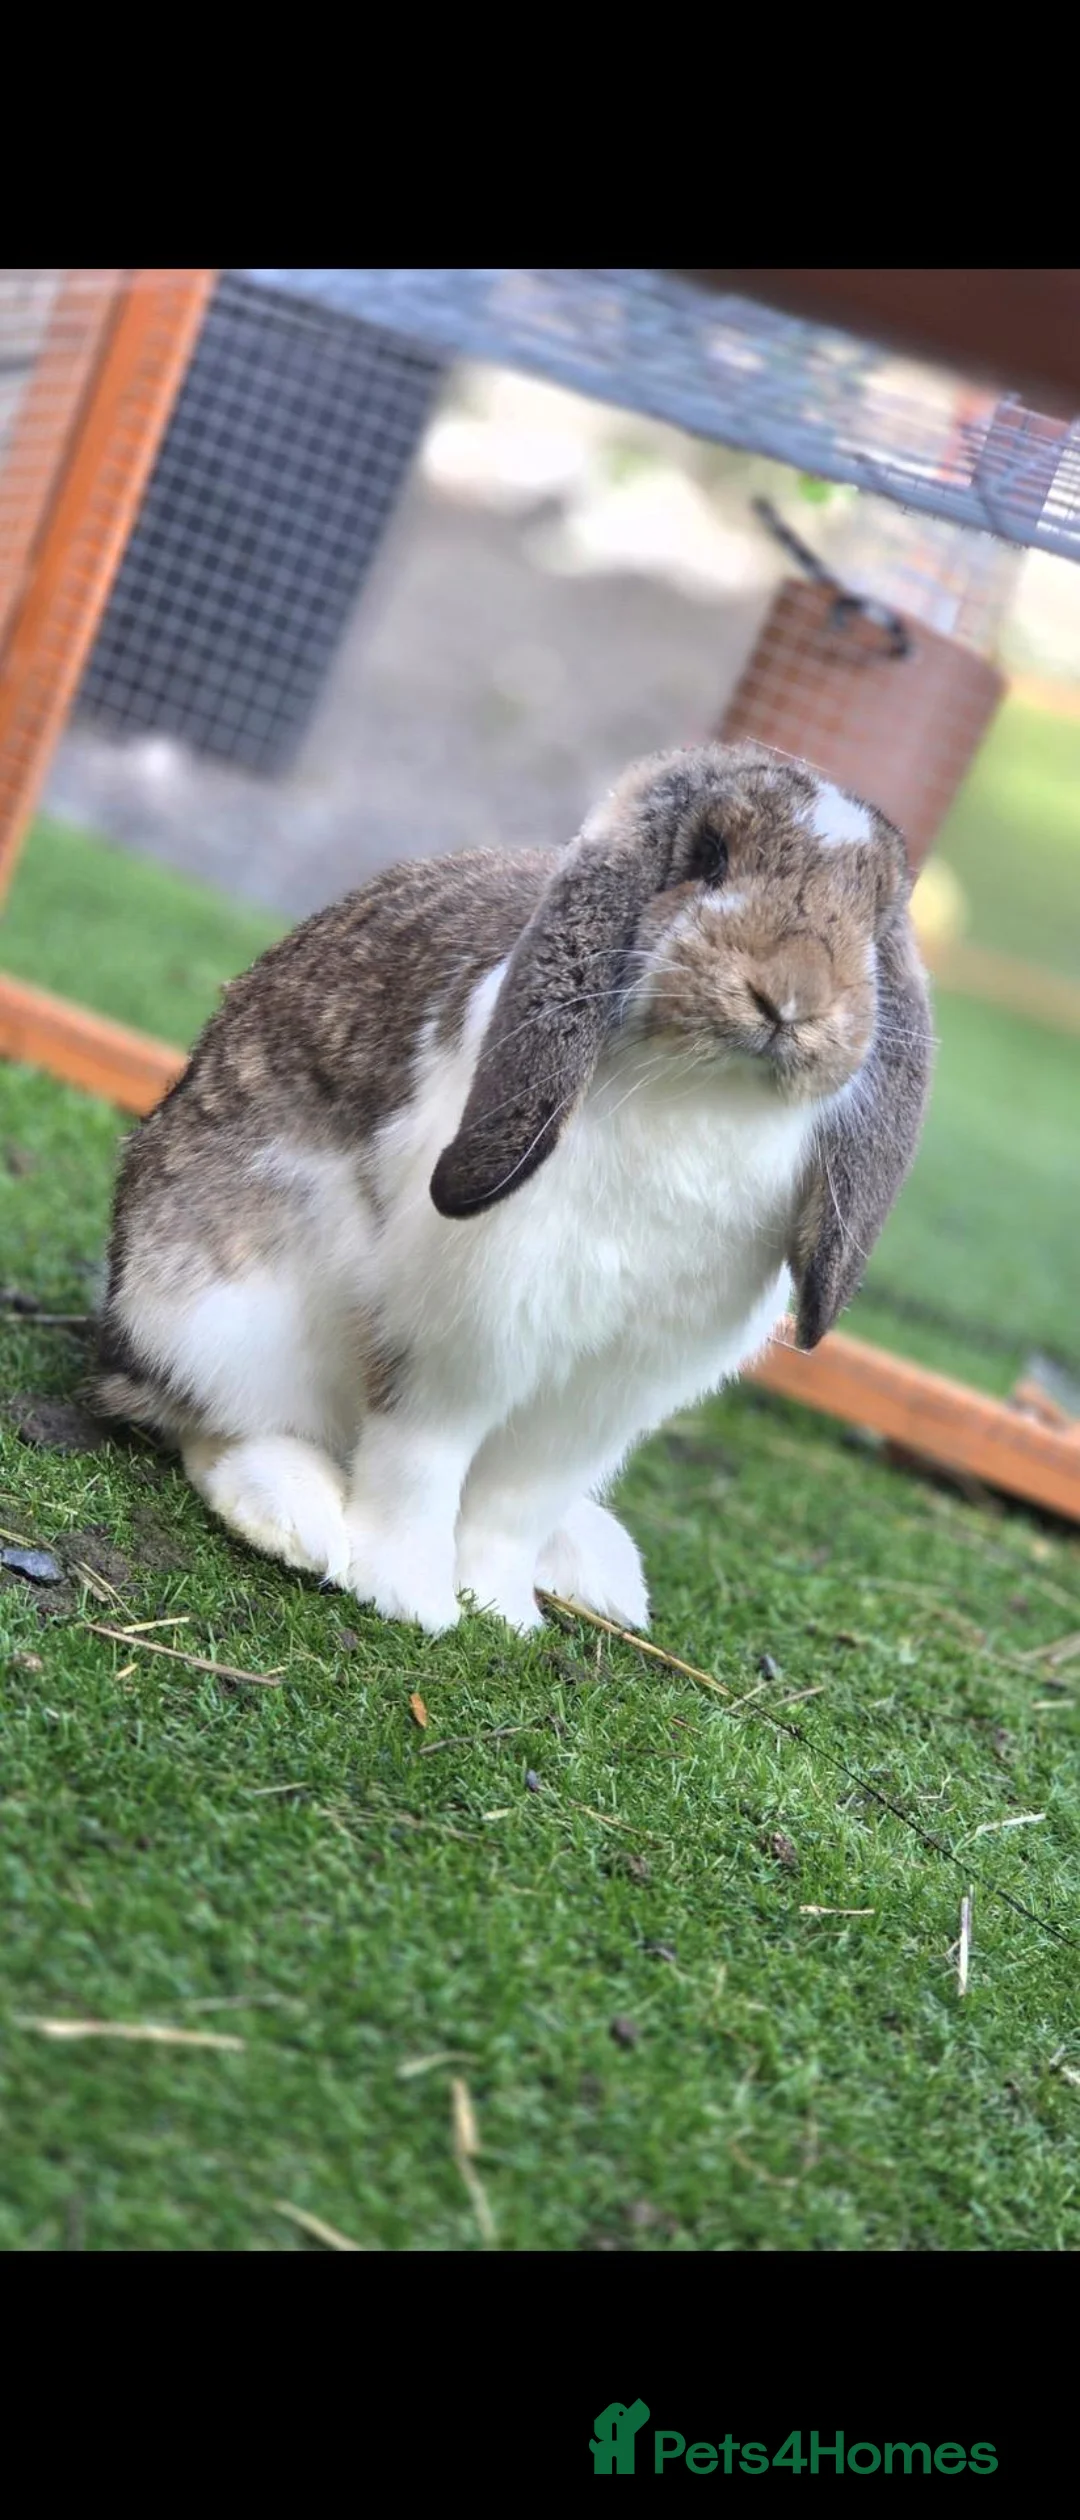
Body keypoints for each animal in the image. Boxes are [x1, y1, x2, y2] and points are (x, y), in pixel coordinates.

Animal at [94, 741, 933, 1637]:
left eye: (872, 913)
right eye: (710, 858)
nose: (793, 999)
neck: (707, 1094)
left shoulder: (604, 1391)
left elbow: (516, 1504)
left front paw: (503, 1613)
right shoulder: (458, 1345)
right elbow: (421, 1464)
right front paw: (410, 1599)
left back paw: (598, 1572)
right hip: (218, 1317)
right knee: (211, 1423)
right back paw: (297, 1522)